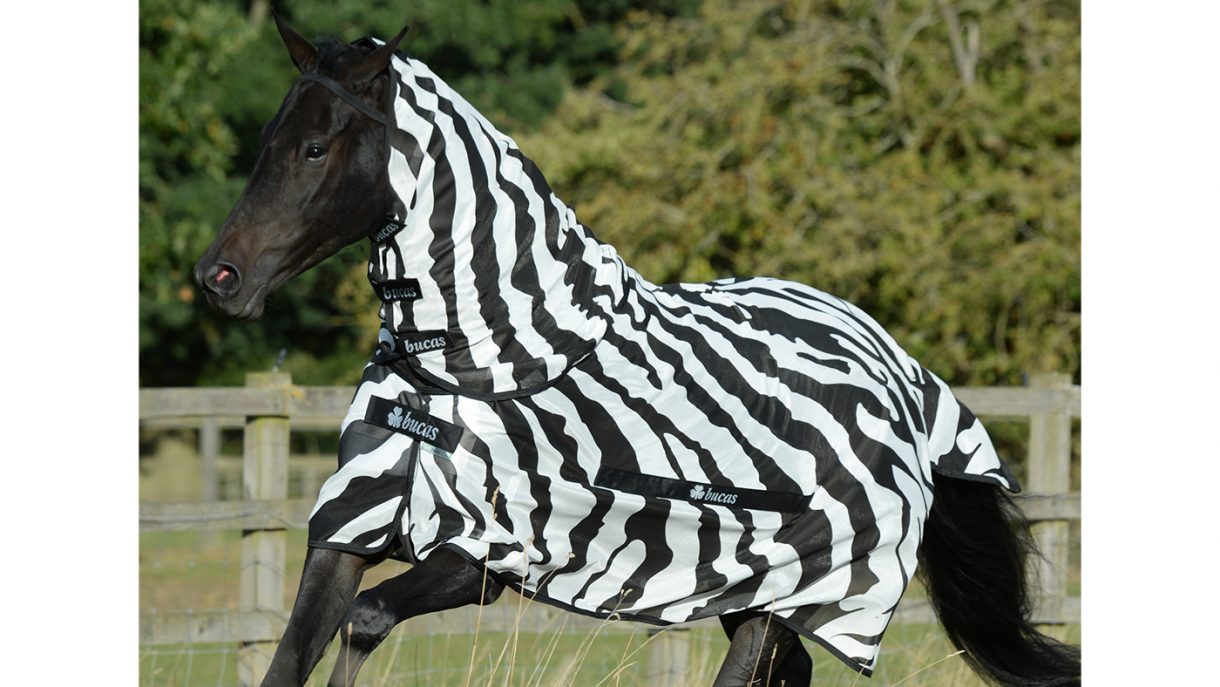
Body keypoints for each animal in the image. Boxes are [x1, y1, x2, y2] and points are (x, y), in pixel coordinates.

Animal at [194, 15, 1081, 687]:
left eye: (316, 148)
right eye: (270, 136)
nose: (218, 276)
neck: (471, 363)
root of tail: (907, 379)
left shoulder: (486, 555)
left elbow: (367, 619)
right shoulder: (346, 532)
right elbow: (295, 651)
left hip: (795, 592)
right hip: (752, 593)